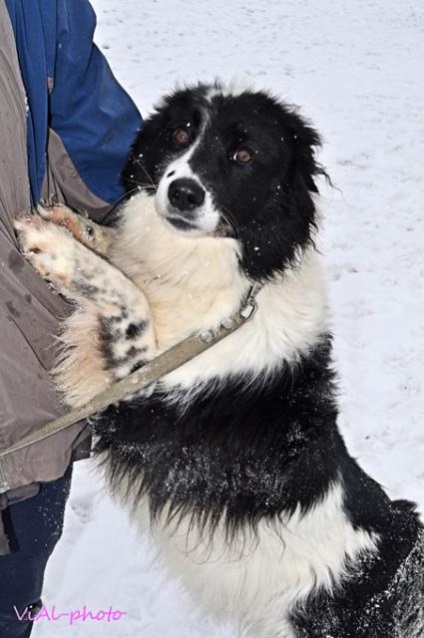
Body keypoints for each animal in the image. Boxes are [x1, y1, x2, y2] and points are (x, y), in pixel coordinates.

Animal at [14, 82, 422, 636]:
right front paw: (73, 225)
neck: (232, 282)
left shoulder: (137, 396)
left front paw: (55, 248)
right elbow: (120, 257)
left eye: (244, 155)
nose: (183, 192)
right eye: (180, 134)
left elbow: (128, 297)